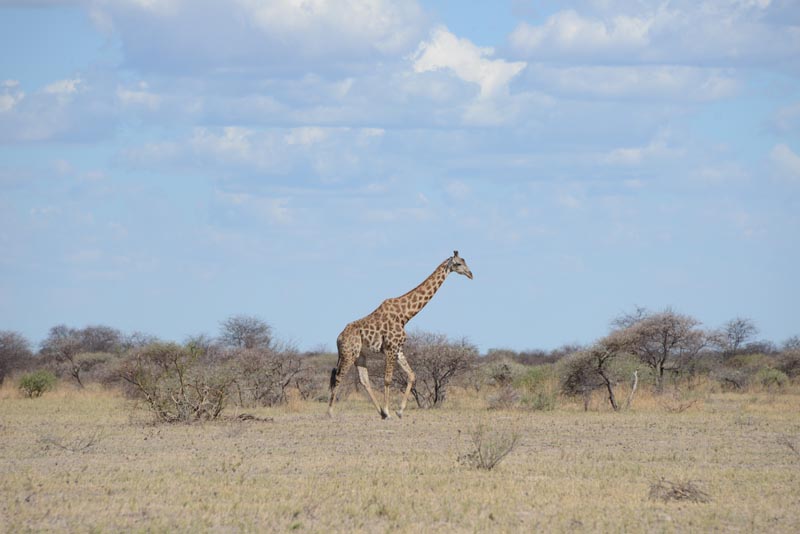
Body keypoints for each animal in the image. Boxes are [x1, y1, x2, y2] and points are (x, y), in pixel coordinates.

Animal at [328, 251, 473, 419]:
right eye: (458, 263)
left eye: (465, 261)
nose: (471, 274)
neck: (405, 315)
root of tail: (338, 338)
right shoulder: (390, 348)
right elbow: (387, 379)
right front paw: (388, 411)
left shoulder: (398, 349)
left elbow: (412, 375)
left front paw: (398, 411)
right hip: (348, 354)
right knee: (338, 377)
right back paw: (331, 412)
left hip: (359, 355)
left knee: (364, 380)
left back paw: (380, 412)